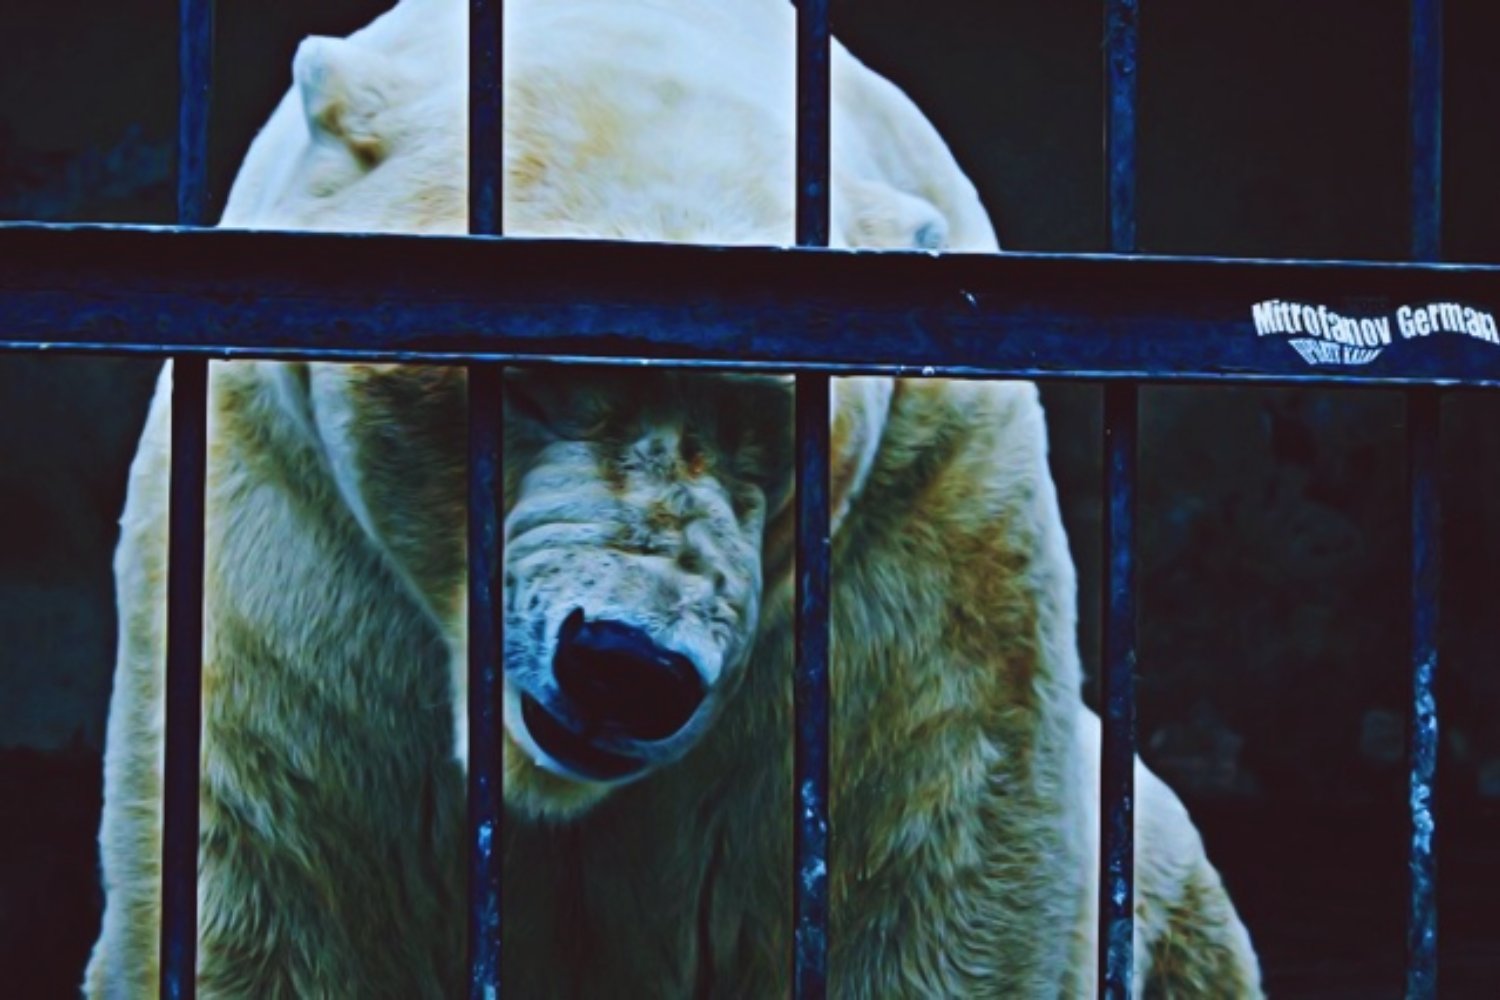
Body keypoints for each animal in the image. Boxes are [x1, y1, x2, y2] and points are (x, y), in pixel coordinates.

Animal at [85, 0, 1264, 996]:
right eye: (532, 378)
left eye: (767, 413)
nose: (626, 666)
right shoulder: (289, 558)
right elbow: (277, 885)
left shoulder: (919, 565)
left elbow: (933, 884)